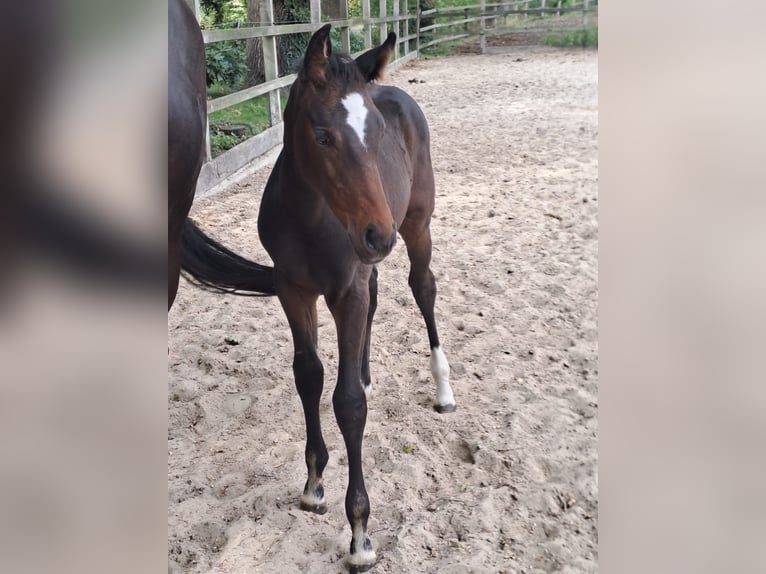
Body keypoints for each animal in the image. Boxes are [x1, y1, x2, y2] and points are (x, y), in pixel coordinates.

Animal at [180, 24, 456, 570]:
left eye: (376, 134)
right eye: (323, 135)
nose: (378, 235)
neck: (309, 219)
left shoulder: (344, 289)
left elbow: (347, 403)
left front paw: (361, 533)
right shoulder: (294, 289)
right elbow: (309, 375)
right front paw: (313, 483)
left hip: (417, 225)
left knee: (423, 288)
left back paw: (442, 389)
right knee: (377, 294)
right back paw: (369, 372)